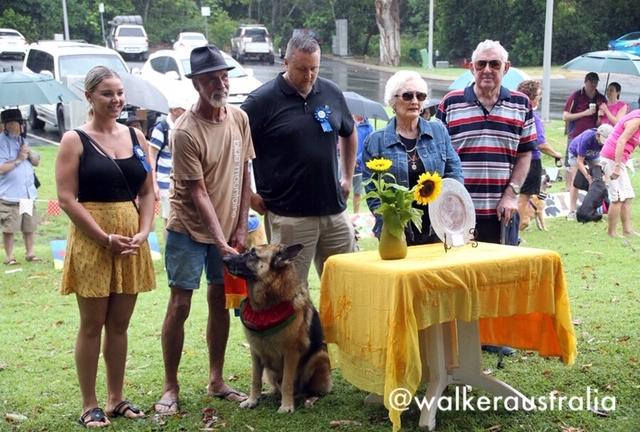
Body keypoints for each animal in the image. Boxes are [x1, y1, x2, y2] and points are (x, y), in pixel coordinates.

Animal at [222, 245, 332, 414]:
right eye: (247, 250)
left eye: (253, 254)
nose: (224, 259)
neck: (265, 308)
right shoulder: (255, 352)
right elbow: (255, 379)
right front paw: (252, 400)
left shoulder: (291, 354)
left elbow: (287, 381)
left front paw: (286, 405)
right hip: (269, 371)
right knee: (276, 387)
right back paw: (267, 393)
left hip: (319, 357)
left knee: (307, 390)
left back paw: (304, 398)